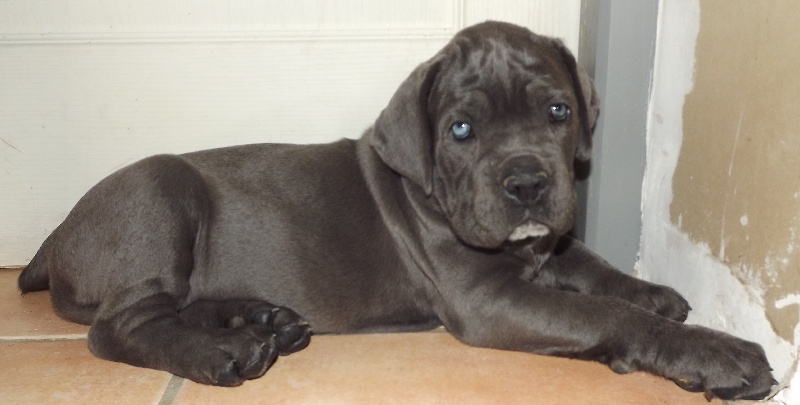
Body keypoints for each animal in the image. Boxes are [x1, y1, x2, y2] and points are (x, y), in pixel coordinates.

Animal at [18, 21, 775, 400]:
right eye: (462, 129)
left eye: (559, 112)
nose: (528, 183)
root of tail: (56, 236)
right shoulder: (487, 297)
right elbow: (602, 315)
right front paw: (714, 353)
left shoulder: (545, 248)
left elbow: (591, 264)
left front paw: (651, 289)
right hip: (159, 190)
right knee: (119, 328)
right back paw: (224, 350)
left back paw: (261, 320)